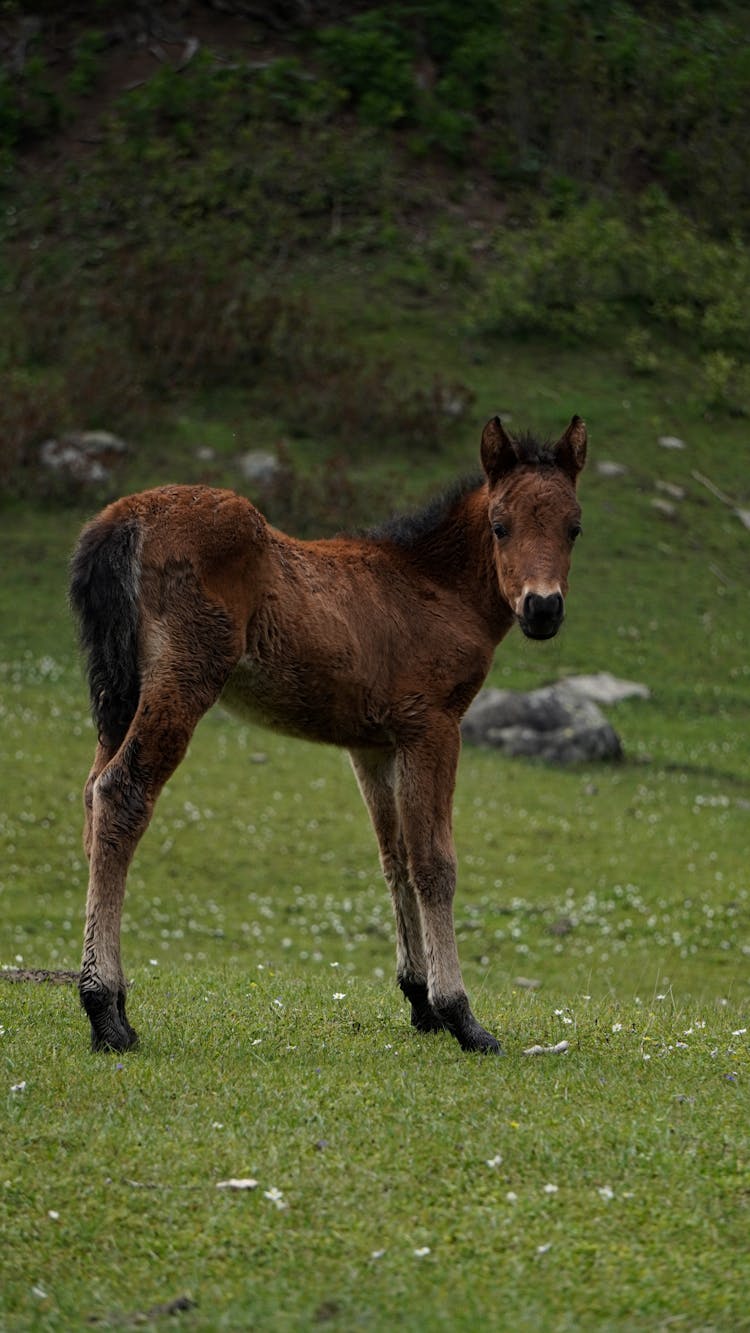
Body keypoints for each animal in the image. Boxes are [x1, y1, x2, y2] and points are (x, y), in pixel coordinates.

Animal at [68, 410, 586, 1055]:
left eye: (574, 528)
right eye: (500, 526)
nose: (543, 609)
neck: (436, 589)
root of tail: (124, 518)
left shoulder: (374, 744)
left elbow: (396, 859)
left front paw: (420, 1001)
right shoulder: (434, 726)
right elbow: (435, 864)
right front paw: (461, 1015)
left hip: (119, 694)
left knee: (92, 795)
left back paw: (115, 1005)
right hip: (184, 678)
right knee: (122, 793)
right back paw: (104, 1012)